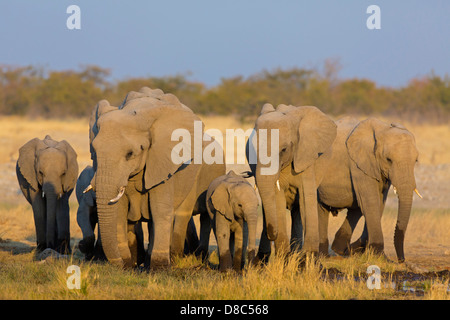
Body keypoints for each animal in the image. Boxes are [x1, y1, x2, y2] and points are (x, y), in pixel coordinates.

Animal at [87, 87, 224, 268]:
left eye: (130, 154)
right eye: (94, 151)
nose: (118, 263)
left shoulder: (164, 159)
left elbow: (160, 208)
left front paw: (159, 268)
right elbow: (120, 210)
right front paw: (127, 265)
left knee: (182, 213)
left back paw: (174, 259)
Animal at [246, 104, 338, 258]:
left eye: (284, 150)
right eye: (252, 150)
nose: (273, 234)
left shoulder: (306, 156)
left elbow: (306, 198)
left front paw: (309, 258)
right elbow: (277, 198)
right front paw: (283, 256)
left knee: (297, 210)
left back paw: (296, 253)